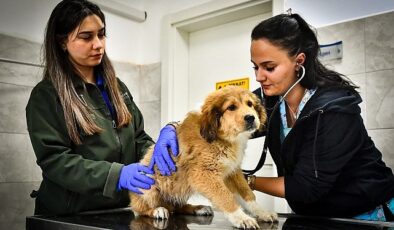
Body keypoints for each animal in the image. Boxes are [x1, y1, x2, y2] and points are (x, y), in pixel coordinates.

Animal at [129, 86, 278, 228]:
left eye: (250, 104)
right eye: (231, 107)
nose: (251, 117)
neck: (221, 138)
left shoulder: (232, 171)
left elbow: (247, 194)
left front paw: (262, 213)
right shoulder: (203, 173)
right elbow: (226, 196)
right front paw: (242, 218)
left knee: (177, 207)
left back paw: (198, 208)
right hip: (147, 184)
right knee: (141, 209)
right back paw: (157, 210)